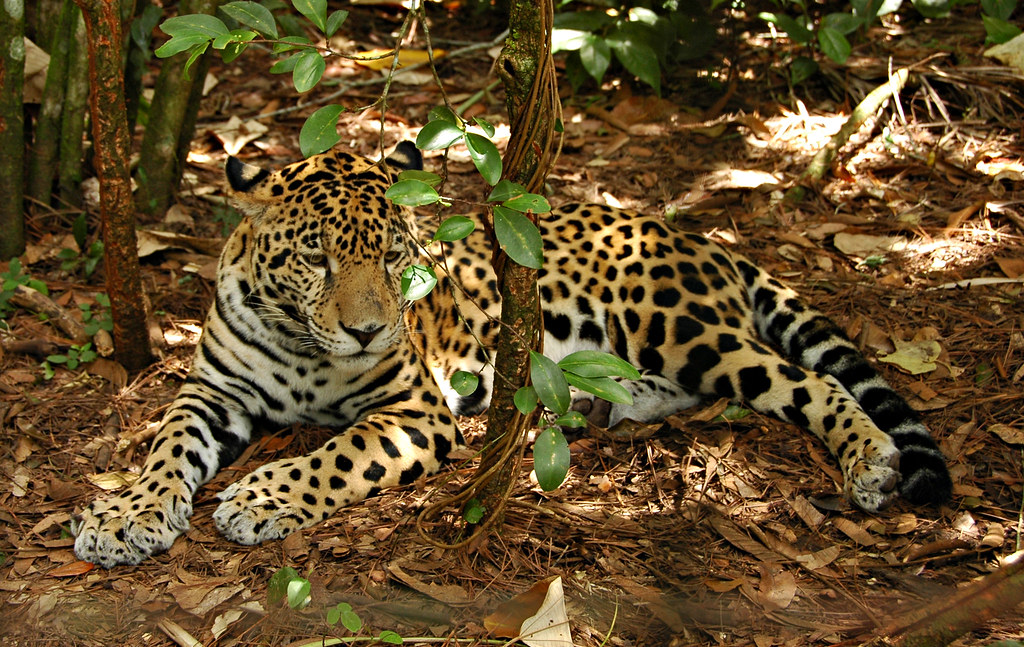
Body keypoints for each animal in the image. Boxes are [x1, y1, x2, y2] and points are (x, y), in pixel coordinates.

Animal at [73, 142, 952, 568]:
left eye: (392, 255)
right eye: (316, 256)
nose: (368, 331)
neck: (299, 336)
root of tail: (696, 236)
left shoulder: (412, 409)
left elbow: (334, 454)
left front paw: (260, 497)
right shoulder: (210, 391)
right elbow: (165, 449)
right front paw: (125, 516)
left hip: (682, 329)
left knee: (806, 380)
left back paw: (869, 458)